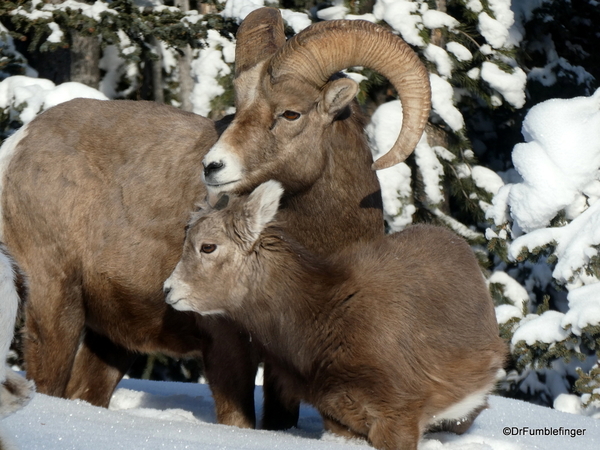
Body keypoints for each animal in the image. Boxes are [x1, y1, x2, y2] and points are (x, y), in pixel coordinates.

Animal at [0, 7, 432, 428]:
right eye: (240, 108)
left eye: (291, 113)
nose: (212, 166)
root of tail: (17, 146)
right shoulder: (226, 342)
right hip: (56, 301)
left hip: (110, 339)